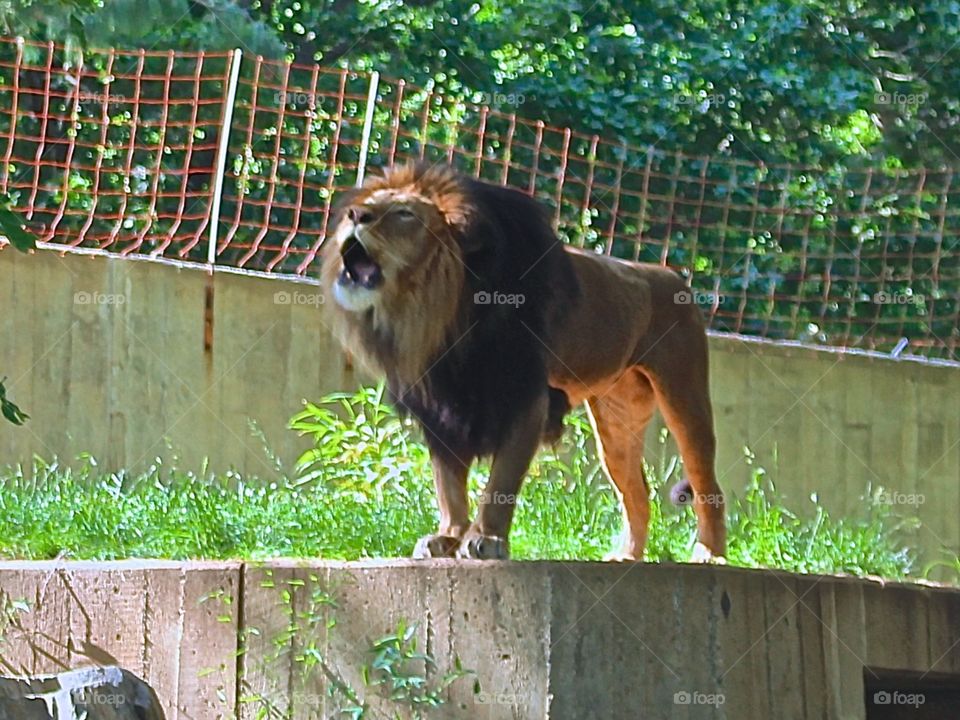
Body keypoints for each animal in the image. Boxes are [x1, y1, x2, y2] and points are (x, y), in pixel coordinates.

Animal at [321, 163, 725, 562]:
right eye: (368, 203)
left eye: (405, 214)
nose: (355, 214)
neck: (435, 311)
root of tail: (672, 275)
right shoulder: (441, 405)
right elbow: (448, 485)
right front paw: (448, 537)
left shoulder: (524, 394)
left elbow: (501, 481)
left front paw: (486, 539)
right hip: (616, 417)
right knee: (637, 491)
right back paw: (626, 557)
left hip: (684, 396)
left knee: (708, 483)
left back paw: (710, 554)